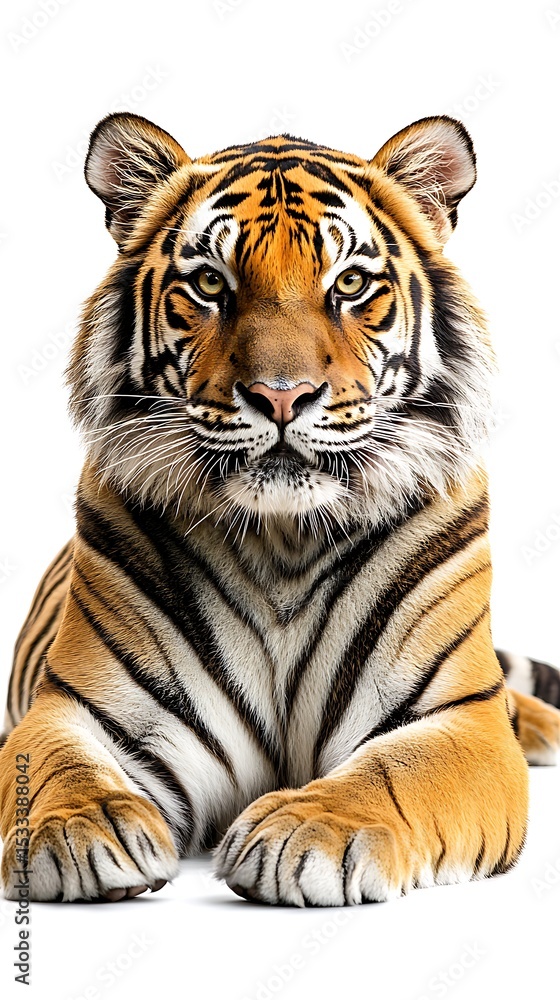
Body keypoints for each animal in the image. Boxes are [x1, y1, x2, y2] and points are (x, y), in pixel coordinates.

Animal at [1, 112, 559, 906]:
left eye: (350, 283)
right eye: (210, 283)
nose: (282, 396)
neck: (284, 539)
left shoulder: (457, 719)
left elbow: (394, 773)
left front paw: (307, 831)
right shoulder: (81, 708)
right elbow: (55, 767)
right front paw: (78, 827)